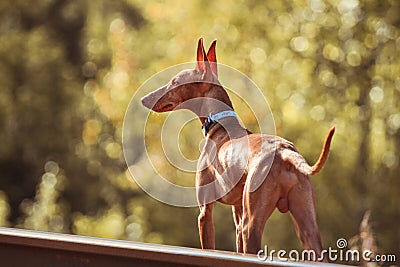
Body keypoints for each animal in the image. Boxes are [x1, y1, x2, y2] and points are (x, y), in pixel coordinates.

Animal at [141, 38, 334, 262]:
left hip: (253, 225)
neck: (219, 122)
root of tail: (285, 152)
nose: (144, 98)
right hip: (306, 228)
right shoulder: (238, 216)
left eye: (174, 82)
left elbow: (208, 247)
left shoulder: (205, 212)